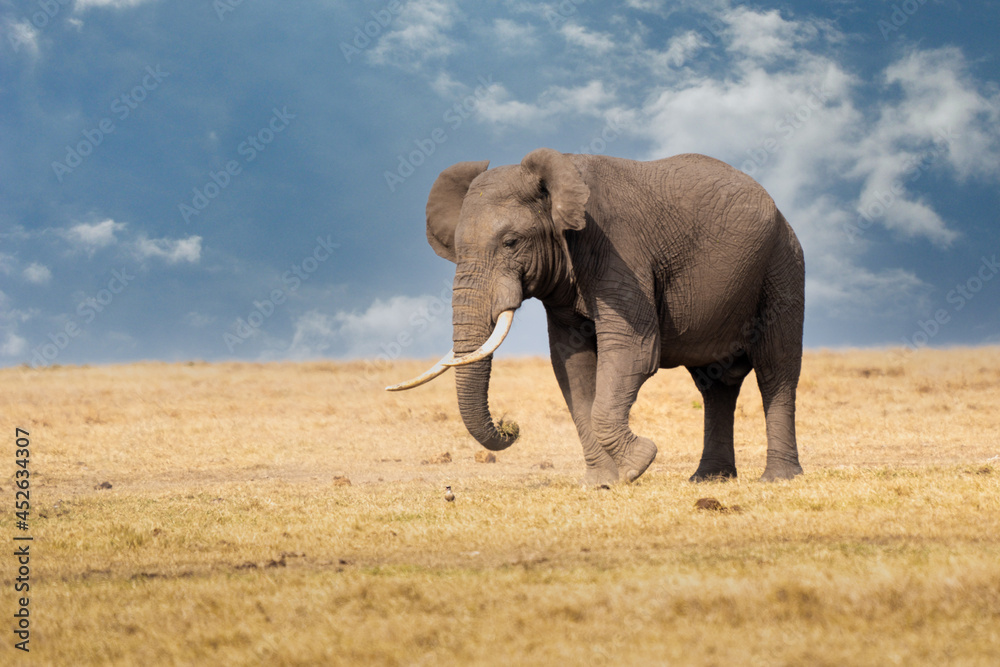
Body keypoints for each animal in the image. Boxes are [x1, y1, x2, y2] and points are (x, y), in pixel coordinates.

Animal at [388, 148, 805, 486]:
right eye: (457, 250)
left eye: (511, 243)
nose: (510, 424)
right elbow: (571, 367)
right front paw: (602, 483)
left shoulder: (619, 249)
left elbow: (634, 351)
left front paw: (639, 463)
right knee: (715, 383)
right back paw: (708, 479)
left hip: (782, 264)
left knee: (776, 370)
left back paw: (777, 479)